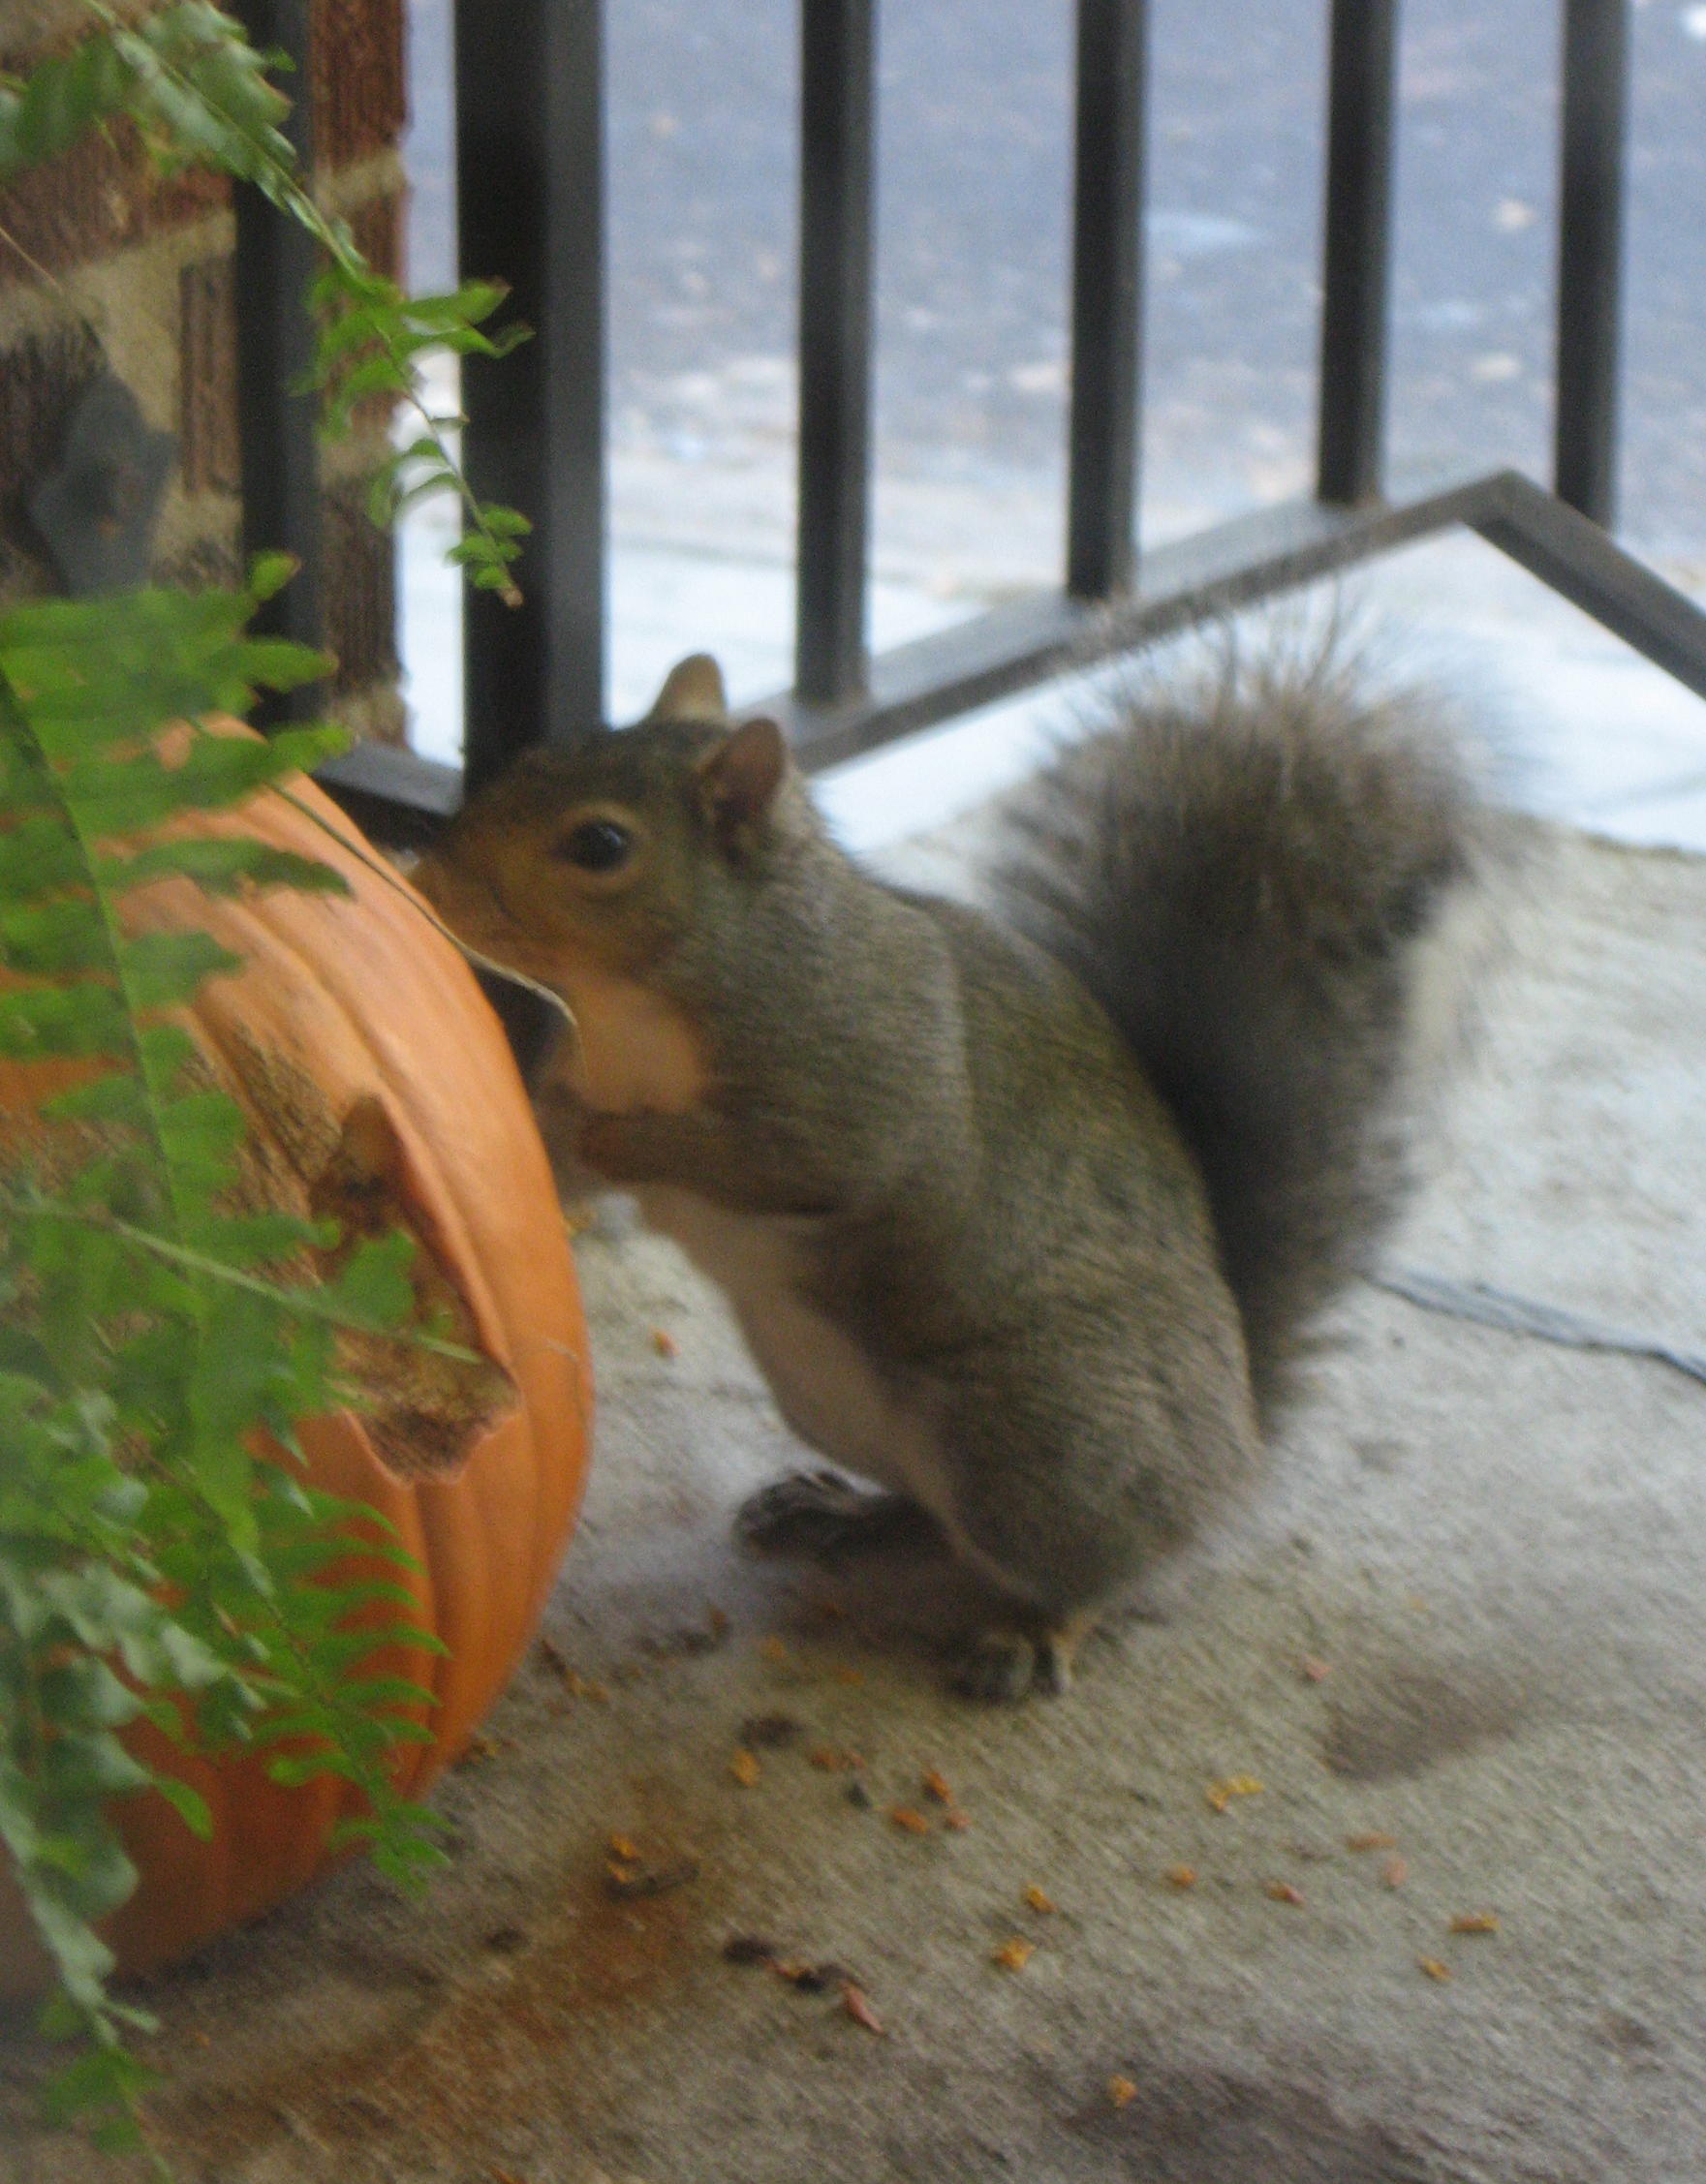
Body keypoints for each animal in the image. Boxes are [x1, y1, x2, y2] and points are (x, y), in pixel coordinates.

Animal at [415, 641, 1481, 1700]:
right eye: (524, 761)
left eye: (599, 845)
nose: (425, 879)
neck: (640, 1001)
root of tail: (1239, 1442)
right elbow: (550, 1153)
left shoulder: (865, 1079)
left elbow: (791, 1153)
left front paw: (624, 1138)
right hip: (832, 1400)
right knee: (932, 1512)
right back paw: (844, 1510)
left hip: (1039, 1443)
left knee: (1109, 1563)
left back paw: (1038, 1630)